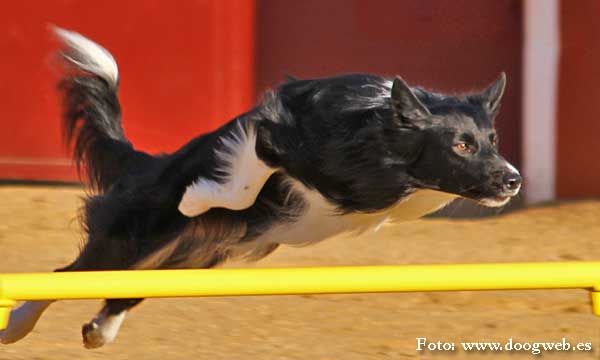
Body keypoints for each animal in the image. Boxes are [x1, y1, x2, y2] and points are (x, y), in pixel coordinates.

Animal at [0, 26, 520, 348]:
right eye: (461, 145)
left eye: (492, 141)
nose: (514, 179)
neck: (380, 130)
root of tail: (148, 164)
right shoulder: (271, 132)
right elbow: (244, 182)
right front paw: (198, 196)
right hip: (136, 236)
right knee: (68, 274)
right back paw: (17, 324)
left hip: (193, 258)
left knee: (126, 287)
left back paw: (100, 330)